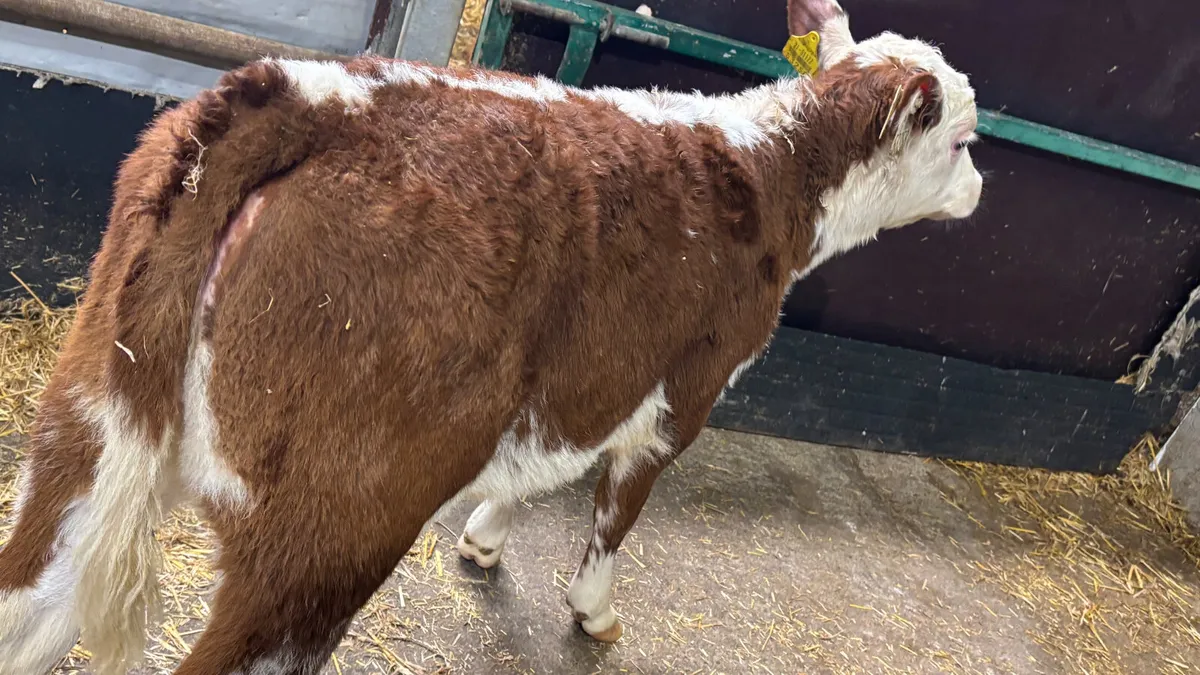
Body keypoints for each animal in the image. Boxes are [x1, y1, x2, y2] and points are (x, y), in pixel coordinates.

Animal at [0, 0, 982, 672]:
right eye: (964, 140)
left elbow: (547, 464)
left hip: (84, 431)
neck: (770, 165)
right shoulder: (685, 388)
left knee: (27, 601)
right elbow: (616, 504)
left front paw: (486, 536)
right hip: (326, 532)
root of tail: (312, 99)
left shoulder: (586, 377)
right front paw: (592, 609)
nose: (979, 193)